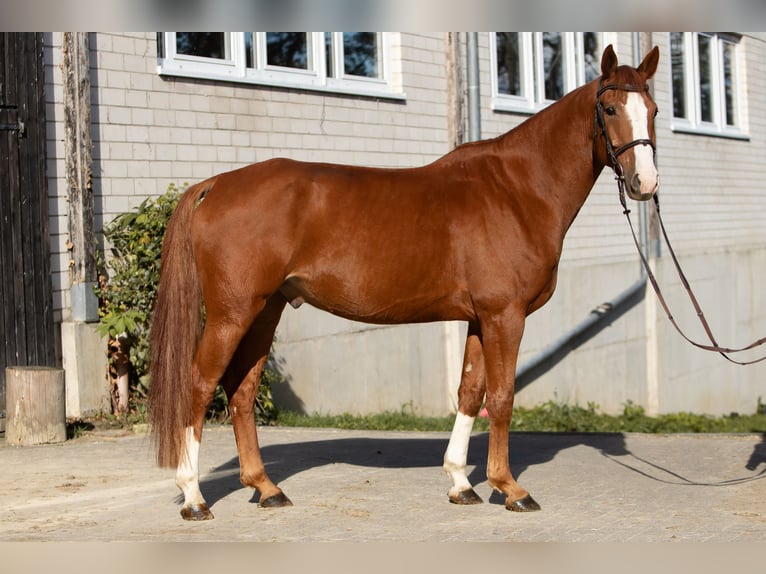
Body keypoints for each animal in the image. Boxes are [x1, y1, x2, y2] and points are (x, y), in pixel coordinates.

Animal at [148, 45, 660, 520]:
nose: (646, 183)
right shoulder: (505, 315)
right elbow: (502, 397)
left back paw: (266, 487)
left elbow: (470, 393)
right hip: (232, 313)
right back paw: (193, 497)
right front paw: (510, 487)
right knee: (200, 385)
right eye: (610, 109)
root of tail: (216, 184)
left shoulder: (480, 318)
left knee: (242, 390)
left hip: (264, 311)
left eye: (653, 110)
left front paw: (461, 483)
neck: (516, 190)